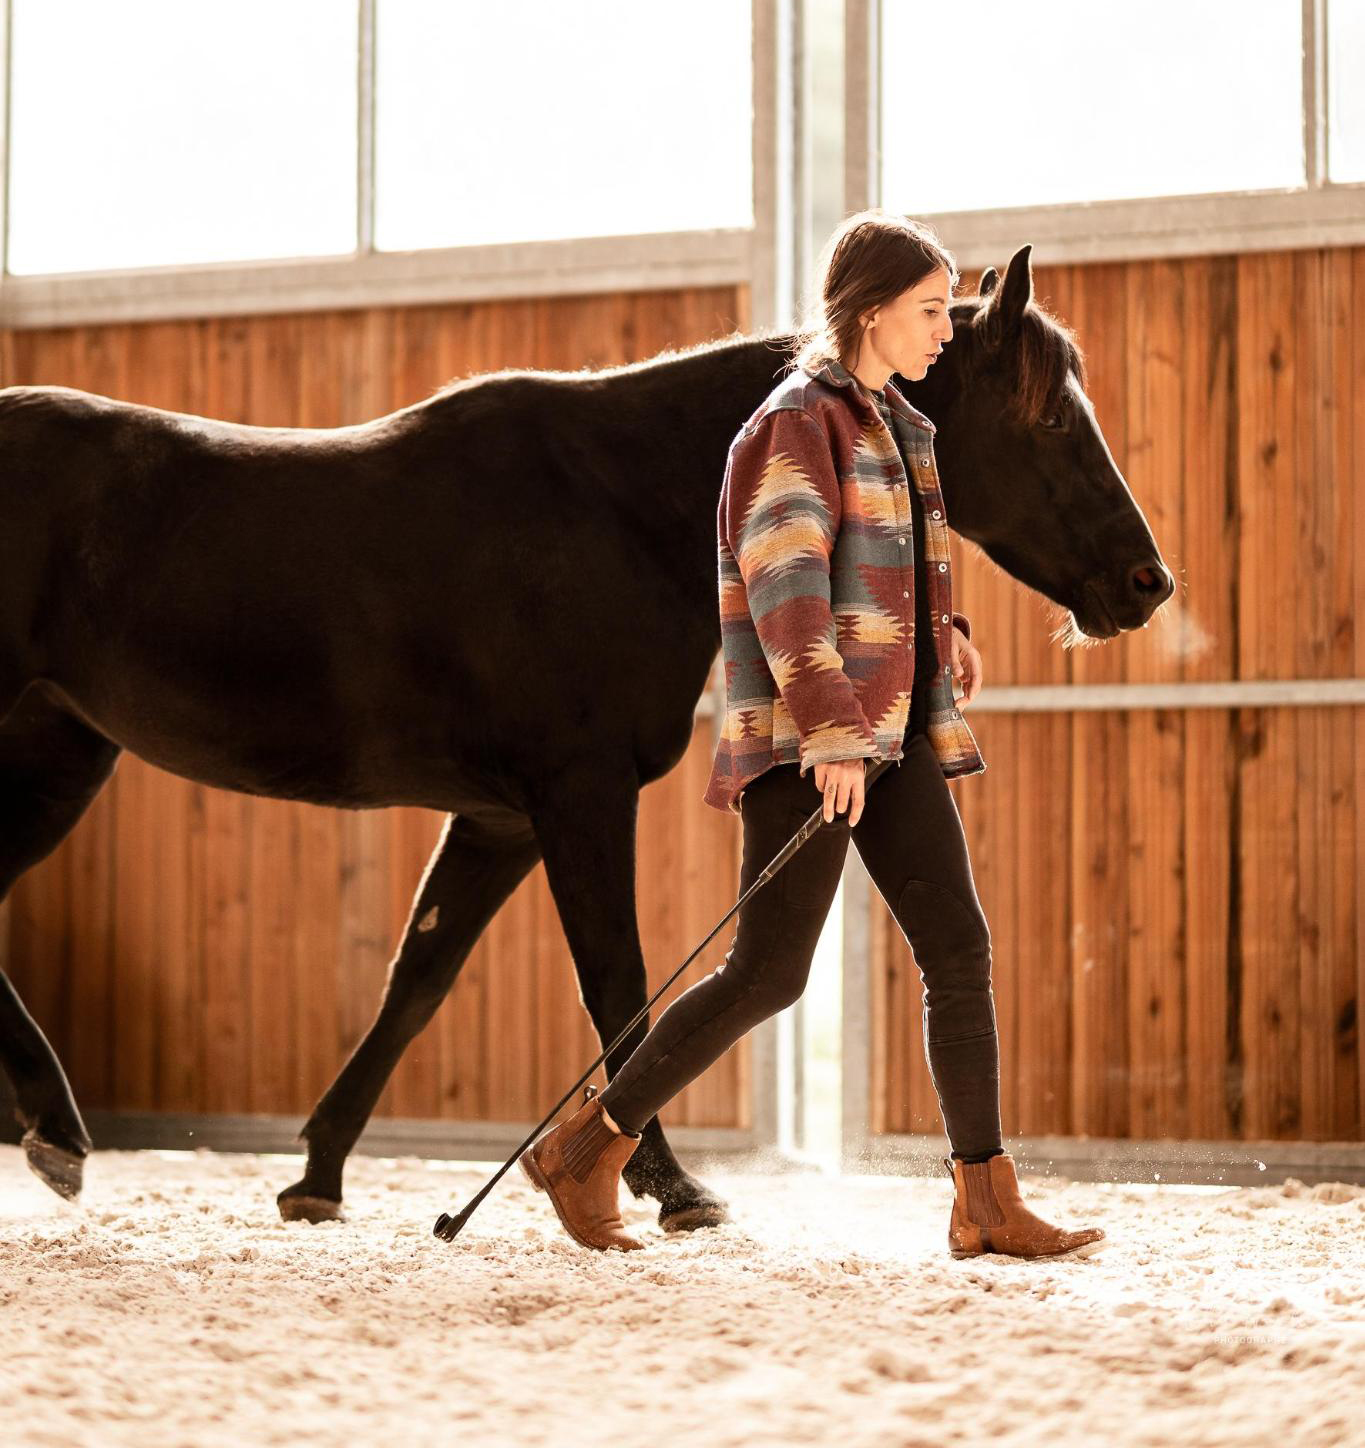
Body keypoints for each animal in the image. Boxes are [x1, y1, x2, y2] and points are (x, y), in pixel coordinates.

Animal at [0, 244, 1173, 1231]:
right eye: (1051, 421)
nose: (1147, 581)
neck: (618, 507)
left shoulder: (498, 821)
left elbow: (415, 982)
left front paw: (318, 1175)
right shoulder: (579, 796)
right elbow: (621, 987)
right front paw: (668, 1185)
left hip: (60, 753)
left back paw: (57, 1132)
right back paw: (57, 1132)